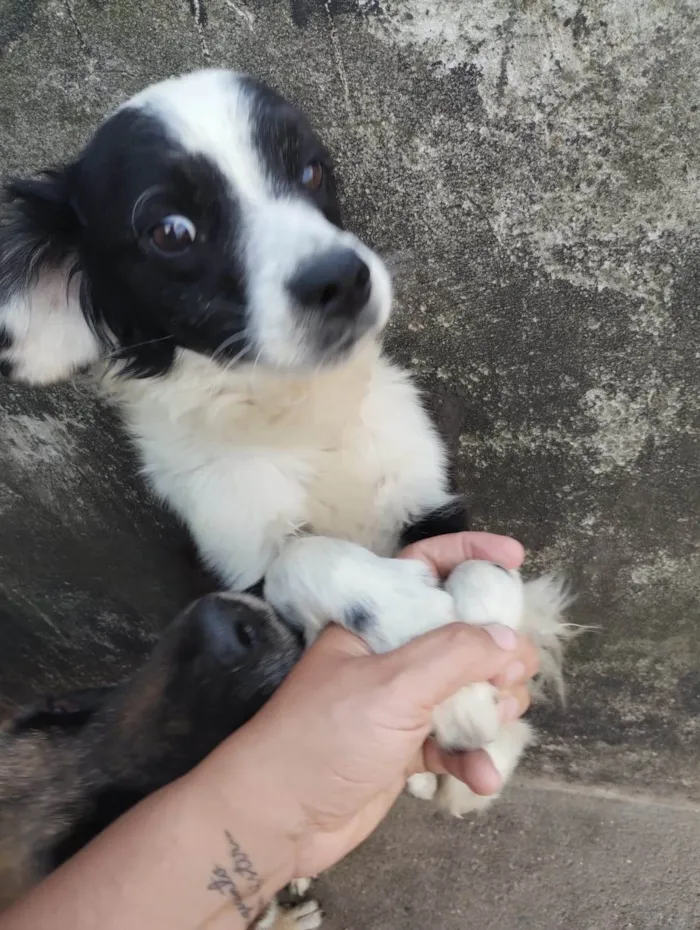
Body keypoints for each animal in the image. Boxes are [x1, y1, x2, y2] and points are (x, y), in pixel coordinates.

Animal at [0, 70, 572, 820]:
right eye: (171, 231)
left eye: (311, 170)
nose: (341, 279)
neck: (299, 417)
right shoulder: (243, 574)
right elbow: (305, 556)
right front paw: (417, 626)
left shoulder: (431, 499)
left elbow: (485, 568)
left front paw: (488, 657)